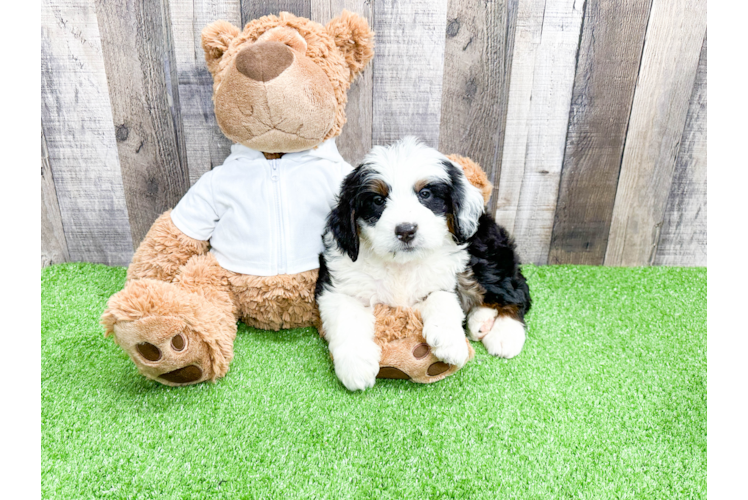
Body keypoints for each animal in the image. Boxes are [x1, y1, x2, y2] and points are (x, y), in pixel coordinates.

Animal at [316, 137, 532, 390]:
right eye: (378, 200)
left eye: (425, 194)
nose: (406, 230)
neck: (401, 264)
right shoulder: (338, 283)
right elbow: (345, 316)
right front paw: (356, 366)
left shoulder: (444, 278)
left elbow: (441, 298)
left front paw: (450, 342)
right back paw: (481, 320)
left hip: (481, 253)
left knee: (515, 291)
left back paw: (505, 334)